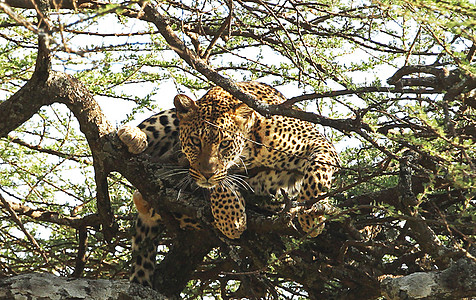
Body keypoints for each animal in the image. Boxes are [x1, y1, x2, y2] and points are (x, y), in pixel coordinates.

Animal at [118, 81, 338, 288]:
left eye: (225, 144)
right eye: (196, 141)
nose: (207, 173)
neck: (250, 150)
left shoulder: (317, 143)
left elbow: (316, 173)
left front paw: (311, 217)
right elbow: (220, 182)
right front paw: (231, 220)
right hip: (170, 117)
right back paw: (133, 136)